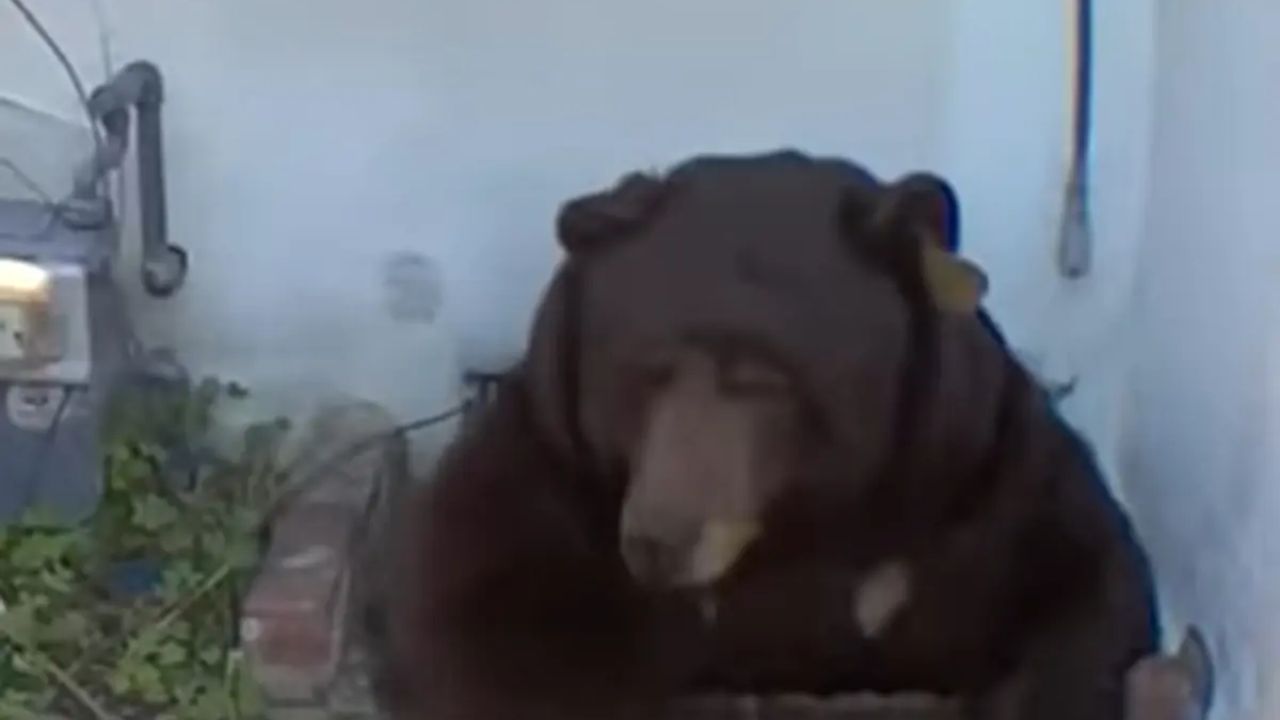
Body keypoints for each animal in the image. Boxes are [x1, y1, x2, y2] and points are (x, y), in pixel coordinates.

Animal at [369, 150, 1160, 720]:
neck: (794, 531)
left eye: (765, 378)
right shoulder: (550, 469)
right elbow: (476, 617)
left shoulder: (973, 479)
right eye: (645, 370)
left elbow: (1090, 587)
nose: (661, 539)